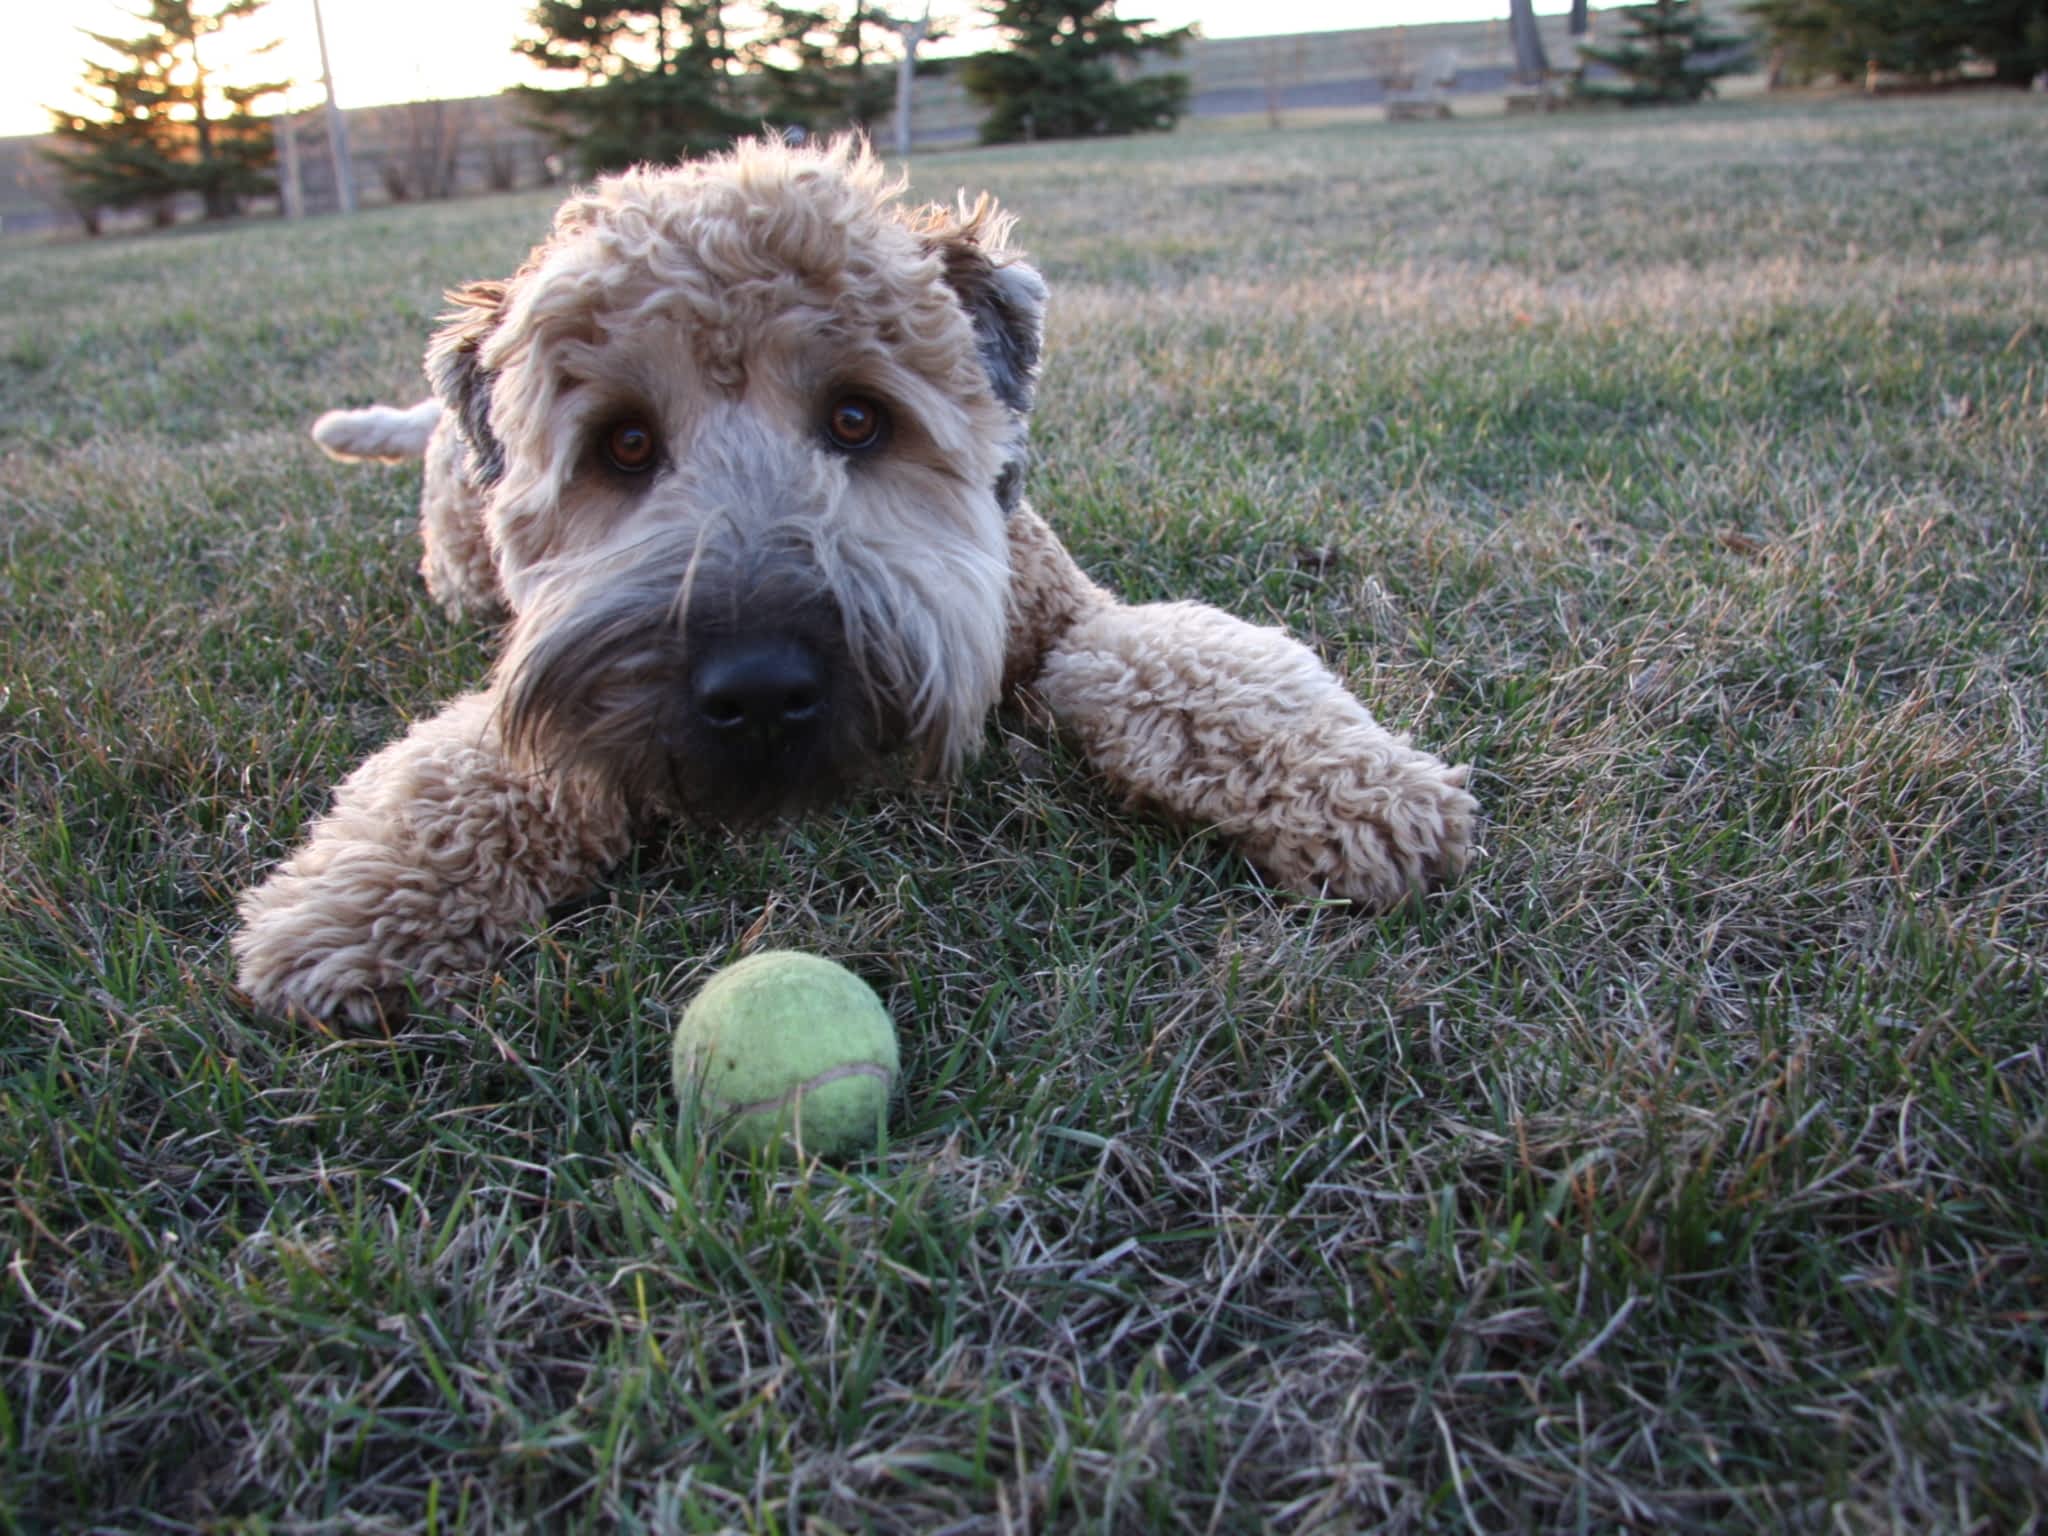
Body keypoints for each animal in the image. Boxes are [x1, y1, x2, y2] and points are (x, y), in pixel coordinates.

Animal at [235, 138, 1474, 1028]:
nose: (757, 687)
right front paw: (353, 908)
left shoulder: (1065, 617)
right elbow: (478, 769)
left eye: (856, 417)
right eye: (623, 445)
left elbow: (1193, 665)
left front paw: (1365, 793)